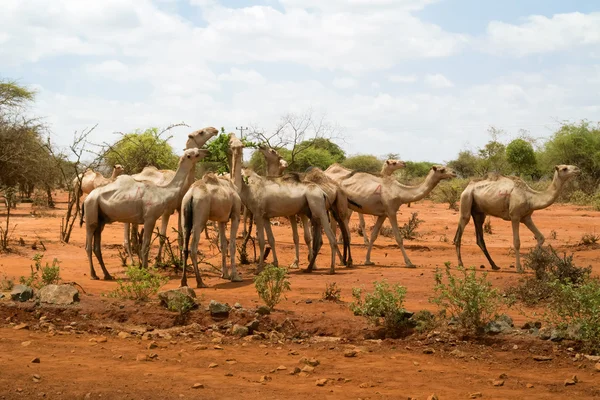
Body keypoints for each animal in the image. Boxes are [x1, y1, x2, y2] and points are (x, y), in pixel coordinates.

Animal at [81, 148, 210, 280]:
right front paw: (145, 271)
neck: (162, 192)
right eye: (195, 154)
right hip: (91, 211)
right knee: (88, 245)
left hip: (100, 220)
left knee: (97, 247)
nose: (207, 151)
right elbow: (146, 245)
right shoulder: (150, 218)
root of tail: (87, 199)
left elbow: (145, 245)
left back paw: (107, 275)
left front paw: (144, 269)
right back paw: (93, 274)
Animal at [122, 126, 218, 264]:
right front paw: (158, 260)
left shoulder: (179, 208)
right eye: (201, 132)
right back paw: (133, 259)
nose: (214, 129)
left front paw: (180, 260)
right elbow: (162, 236)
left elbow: (180, 236)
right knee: (127, 235)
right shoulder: (166, 211)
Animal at [179, 137, 243, 288]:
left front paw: (224, 274)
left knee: (185, 247)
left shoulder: (221, 220)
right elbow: (232, 244)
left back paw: (184, 282)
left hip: (185, 216)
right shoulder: (235, 215)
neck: (235, 185)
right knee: (193, 247)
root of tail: (191, 195)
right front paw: (235, 276)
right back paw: (200, 281)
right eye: (235, 144)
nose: (237, 147)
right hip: (200, 216)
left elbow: (223, 244)